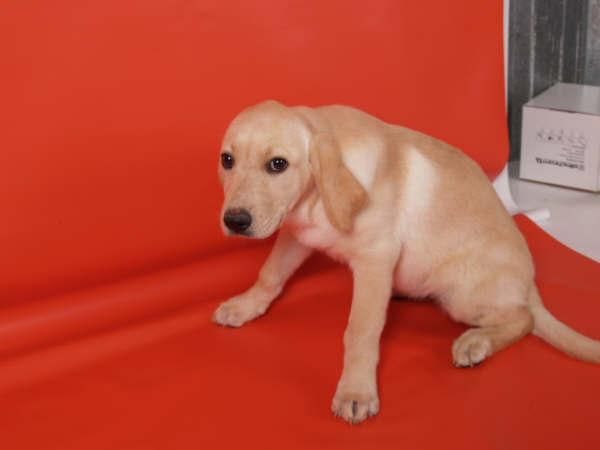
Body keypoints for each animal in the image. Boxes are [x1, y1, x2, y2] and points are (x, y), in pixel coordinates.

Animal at [213, 100, 596, 424]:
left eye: (277, 164)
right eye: (227, 160)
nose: (235, 221)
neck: (317, 198)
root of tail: (530, 283)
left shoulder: (375, 258)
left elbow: (361, 330)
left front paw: (356, 390)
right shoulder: (296, 234)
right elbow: (270, 274)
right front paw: (245, 306)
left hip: (461, 295)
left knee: (524, 319)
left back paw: (477, 343)